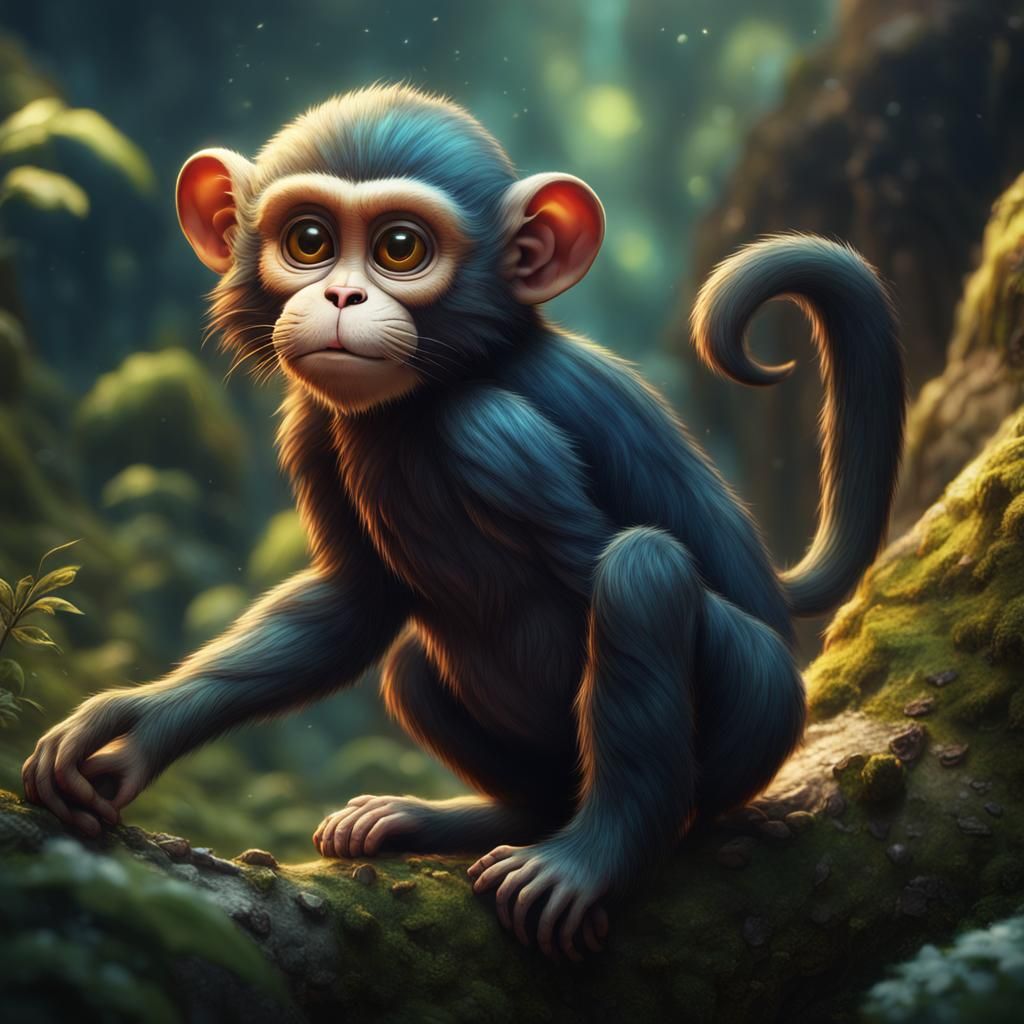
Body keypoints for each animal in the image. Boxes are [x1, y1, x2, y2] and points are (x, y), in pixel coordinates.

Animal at [22, 85, 905, 961]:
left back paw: (587, 850)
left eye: (400, 249)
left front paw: (586, 871)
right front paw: (132, 727)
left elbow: (619, 565)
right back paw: (450, 819)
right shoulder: (311, 431)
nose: (341, 296)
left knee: (643, 573)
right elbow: (349, 604)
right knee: (414, 668)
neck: (433, 393)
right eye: (308, 241)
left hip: (759, 713)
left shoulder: (497, 433)